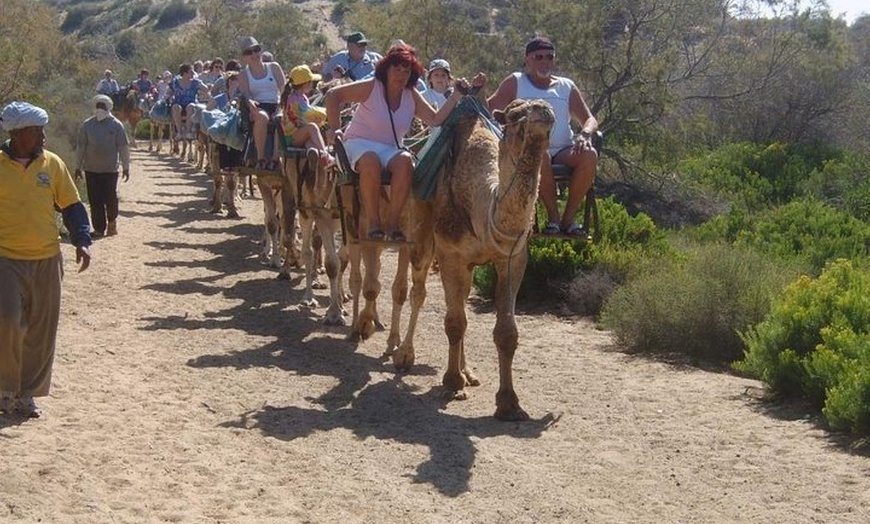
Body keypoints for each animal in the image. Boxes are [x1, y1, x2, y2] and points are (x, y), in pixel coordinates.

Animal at [386, 95, 556, 422]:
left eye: (548, 110)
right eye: (515, 114)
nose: (544, 110)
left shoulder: (512, 259)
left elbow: (506, 332)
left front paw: (509, 403)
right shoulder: (450, 254)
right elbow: (454, 322)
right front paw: (451, 383)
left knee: (460, 300)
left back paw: (468, 372)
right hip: (418, 233)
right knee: (416, 290)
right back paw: (402, 353)